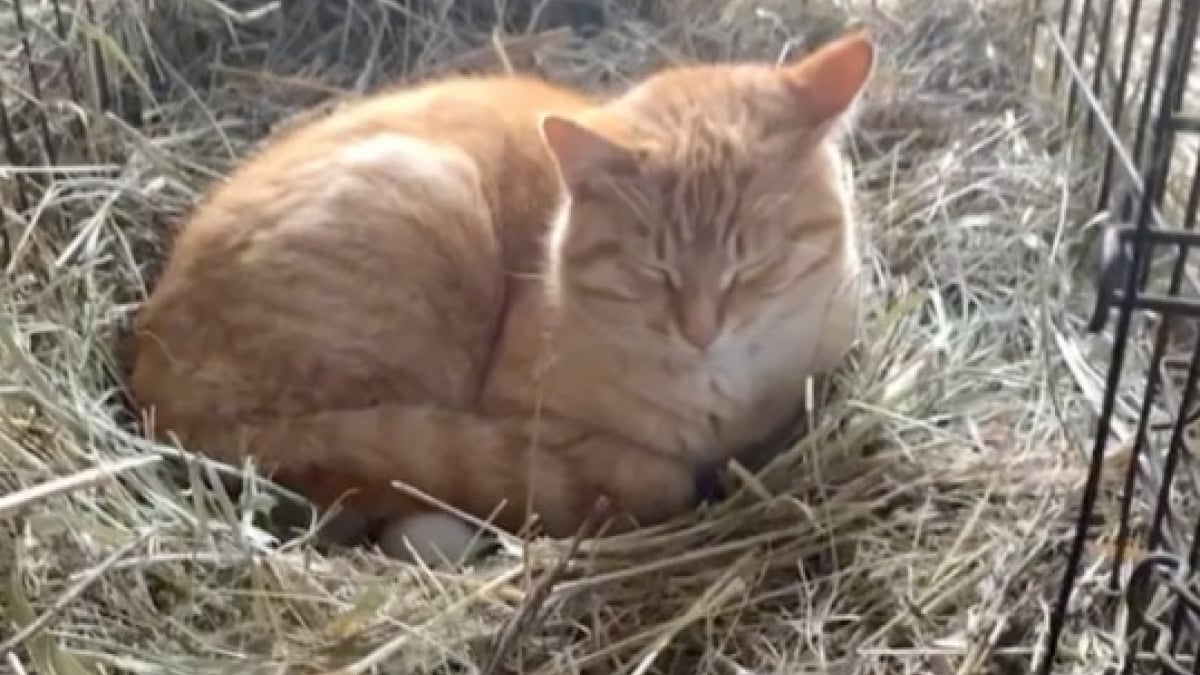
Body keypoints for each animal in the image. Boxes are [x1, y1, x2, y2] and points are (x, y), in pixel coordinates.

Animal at [129, 28, 873, 559]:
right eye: (653, 271)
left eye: (754, 266)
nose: (700, 331)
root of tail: (151, 374)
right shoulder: (520, 414)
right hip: (428, 208)